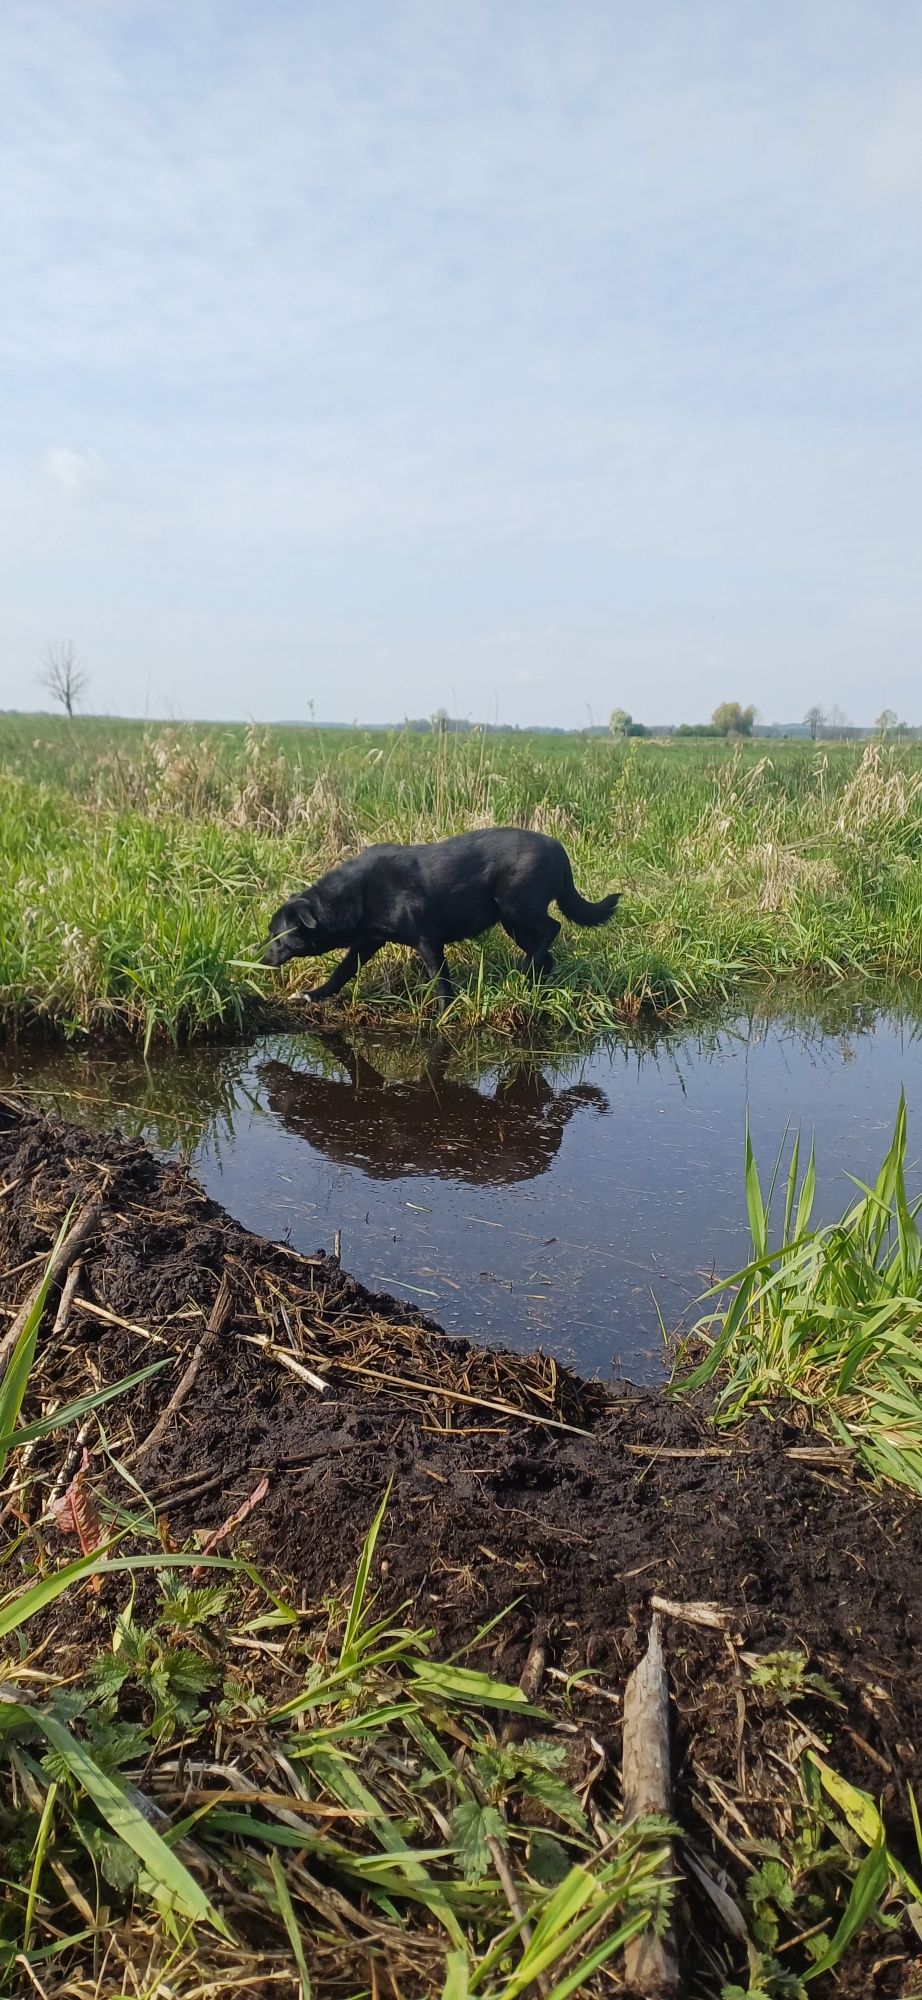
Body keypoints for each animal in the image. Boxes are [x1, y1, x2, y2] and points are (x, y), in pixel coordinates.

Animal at [260, 828, 620, 1016]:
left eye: (276, 935)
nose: (258, 959)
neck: (351, 896)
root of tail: (559, 849)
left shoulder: (428, 941)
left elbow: (440, 980)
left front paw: (445, 1013)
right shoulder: (367, 942)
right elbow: (342, 972)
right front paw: (313, 995)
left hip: (515, 909)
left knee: (552, 928)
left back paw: (528, 969)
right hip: (514, 922)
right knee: (546, 949)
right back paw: (536, 979)